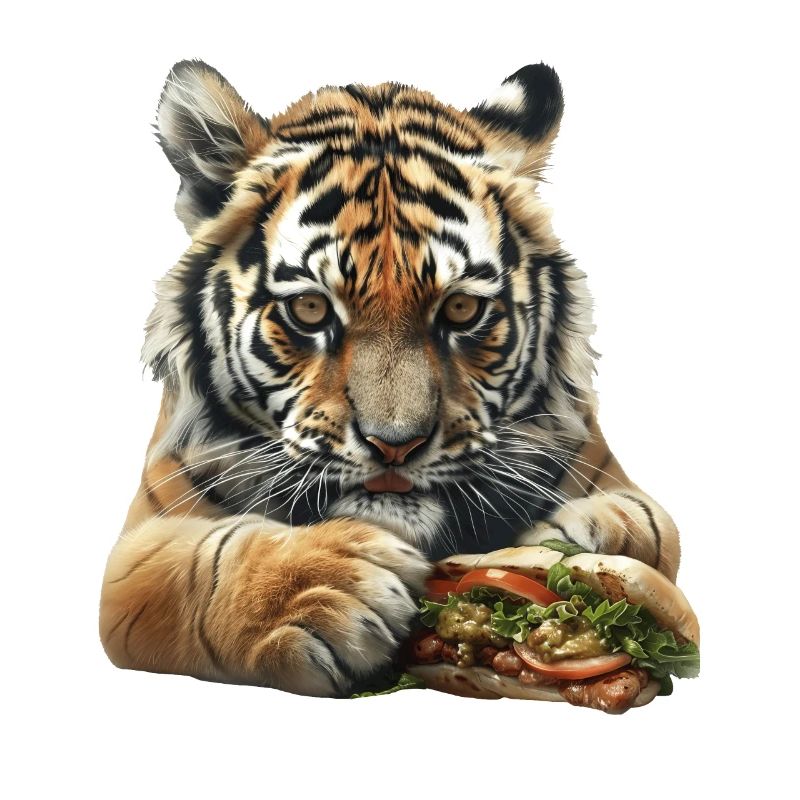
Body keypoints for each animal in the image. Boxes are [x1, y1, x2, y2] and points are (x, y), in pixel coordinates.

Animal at [99, 60, 681, 697]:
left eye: (460, 309)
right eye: (310, 309)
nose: (395, 446)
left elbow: (651, 523)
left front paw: (579, 532)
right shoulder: (134, 551)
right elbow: (205, 564)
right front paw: (327, 588)